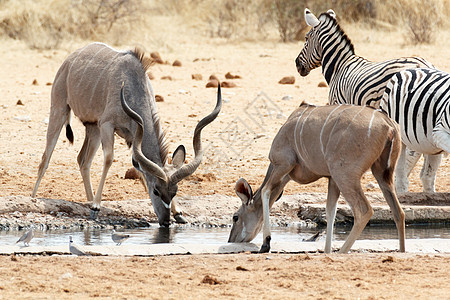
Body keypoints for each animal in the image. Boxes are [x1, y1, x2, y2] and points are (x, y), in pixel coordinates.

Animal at [31, 42, 221, 225]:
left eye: (174, 192)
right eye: (156, 191)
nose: (166, 222)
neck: (131, 86)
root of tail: (69, 60)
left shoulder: (132, 136)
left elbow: (139, 167)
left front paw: (179, 213)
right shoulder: (107, 125)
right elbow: (109, 159)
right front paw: (96, 208)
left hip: (93, 128)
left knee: (83, 160)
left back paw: (89, 201)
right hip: (60, 110)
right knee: (46, 158)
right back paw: (34, 198)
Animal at [227, 103, 406, 253]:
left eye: (235, 217)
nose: (231, 240)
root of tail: (389, 126)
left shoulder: (283, 164)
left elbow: (265, 190)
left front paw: (266, 244)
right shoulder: (331, 179)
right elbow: (330, 211)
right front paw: (326, 250)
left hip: (345, 174)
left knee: (364, 211)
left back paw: (341, 252)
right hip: (382, 175)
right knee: (399, 212)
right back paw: (402, 251)